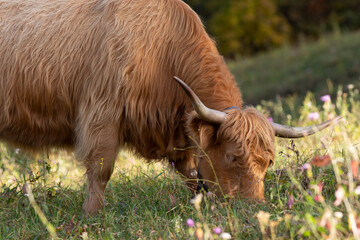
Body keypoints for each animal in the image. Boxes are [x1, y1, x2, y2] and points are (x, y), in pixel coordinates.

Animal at [0, 0, 340, 215]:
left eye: (268, 161)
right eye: (233, 156)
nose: (253, 208)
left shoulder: (180, 133)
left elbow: (191, 173)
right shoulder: (102, 112)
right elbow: (101, 169)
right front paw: (92, 217)